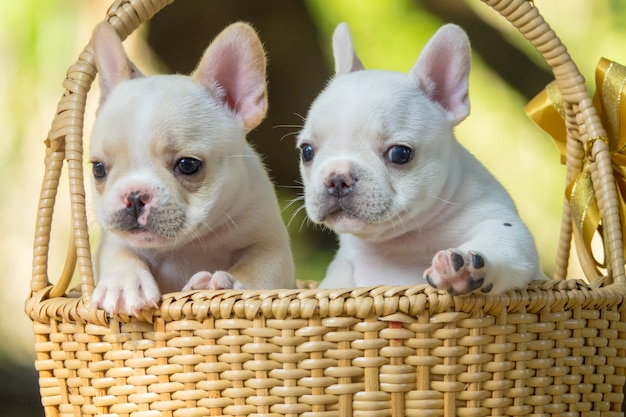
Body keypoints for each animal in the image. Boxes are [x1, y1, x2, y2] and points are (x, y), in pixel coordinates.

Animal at [88, 21, 294, 314]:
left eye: (187, 165)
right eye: (99, 169)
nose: (135, 196)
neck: (187, 245)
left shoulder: (270, 245)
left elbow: (257, 268)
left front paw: (224, 282)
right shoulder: (113, 241)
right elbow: (120, 254)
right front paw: (124, 285)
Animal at [294, 22, 540, 292]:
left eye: (400, 153)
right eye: (307, 152)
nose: (337, 178)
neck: (401, 242)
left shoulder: (503, 225)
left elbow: (502, 241)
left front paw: (464, 266)